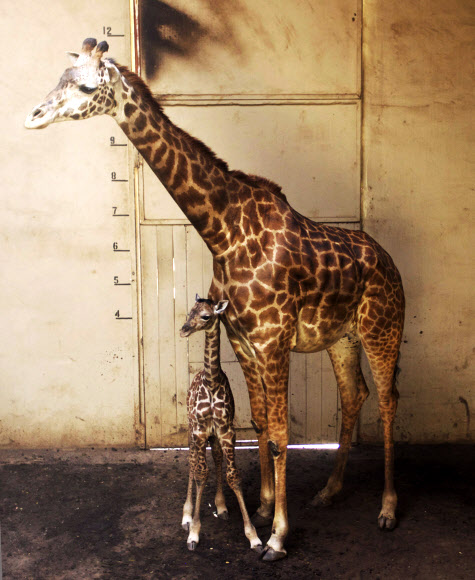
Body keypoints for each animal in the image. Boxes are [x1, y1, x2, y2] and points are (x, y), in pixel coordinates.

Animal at [179, 296, 262, 556]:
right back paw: (186, 515)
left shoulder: (226, 431)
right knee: (191, 463)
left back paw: (221, 506)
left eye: (206, 316)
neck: (211, 381)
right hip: (191, 430)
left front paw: (253, 536)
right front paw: (194, 531)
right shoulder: (199, 430)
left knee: (214, 458)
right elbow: (200, 473)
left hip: (213, 437)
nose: (183, 329)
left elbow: (232, 475)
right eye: (189, 312)